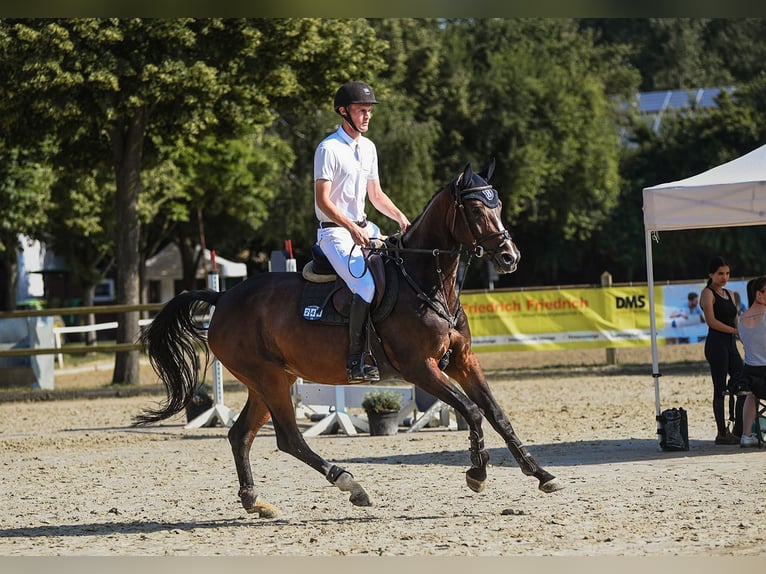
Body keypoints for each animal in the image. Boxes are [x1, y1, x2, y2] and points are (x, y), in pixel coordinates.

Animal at [135, 161, 564, 516]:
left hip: (270, 381)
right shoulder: (420, 368)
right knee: (289, 438)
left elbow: (496, 413)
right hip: (270, 380)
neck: (426, 282)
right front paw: (477, 473)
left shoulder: (462, 361)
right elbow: (472, 411)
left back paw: (255, 500)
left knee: (241, 435)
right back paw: (350, 484)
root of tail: (223, 298)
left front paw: (541, 473)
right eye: (475, 210)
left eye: (499, 205)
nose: (510, 257)